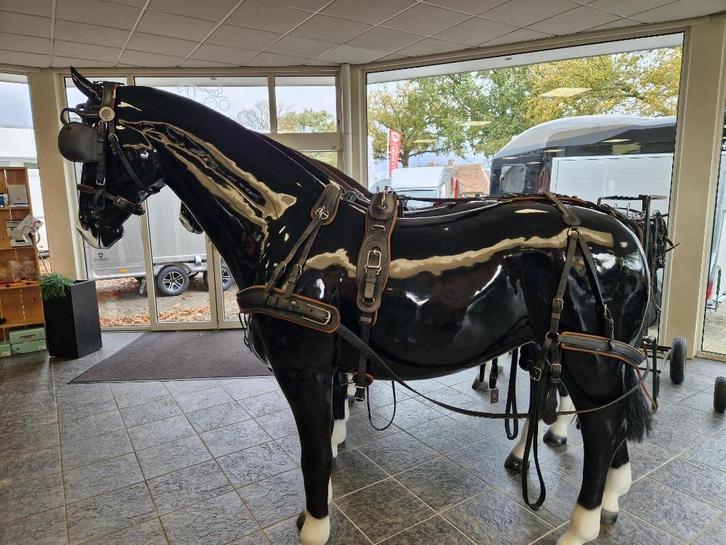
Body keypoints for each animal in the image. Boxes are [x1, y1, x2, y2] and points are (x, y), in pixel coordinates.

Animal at [59, 69, 653, 545]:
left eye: (86, 143)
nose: (89, 224)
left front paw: (315, 527)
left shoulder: (303, 367)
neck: (286, 225)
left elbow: (314, 452)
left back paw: (581, 525)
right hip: (584, 355)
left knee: (603, 430)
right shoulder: (328, 367)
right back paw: (613, 498)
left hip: (587, 357)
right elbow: (327, 439)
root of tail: (626, 236)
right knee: (612, 423)